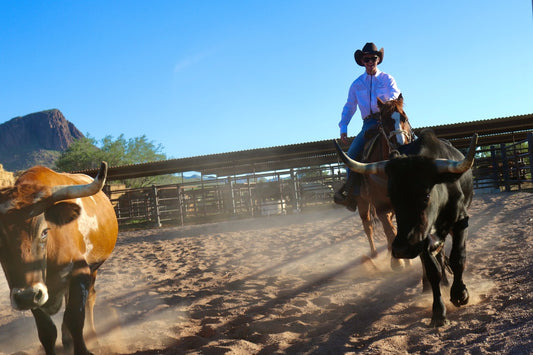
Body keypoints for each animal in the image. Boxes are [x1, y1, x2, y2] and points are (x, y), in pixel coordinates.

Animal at [0, 163, 117, 354]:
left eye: (44, 232)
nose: (26, 297)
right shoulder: (32, 290)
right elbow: (47, 331)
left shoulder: (80, 272)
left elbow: (74, 319)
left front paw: (83, 349)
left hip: (93, 269)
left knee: (90, 299)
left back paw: (92, 336)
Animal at [332, 131, 478, 328]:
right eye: (391, 195)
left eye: (425, 195)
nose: (401, 249)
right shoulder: (420, 237)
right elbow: (432, 269)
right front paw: (438, 311)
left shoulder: (460, 221)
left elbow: (457, 258)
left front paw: (460, 294)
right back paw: (429, 285)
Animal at [356, 93, 414, 268]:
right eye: (386, 121)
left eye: (404, 118)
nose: (401, 146)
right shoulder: (380, 205)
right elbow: (389, 230)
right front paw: (397, 263)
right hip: (363, 203)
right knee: (368, 226)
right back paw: (374, 254)